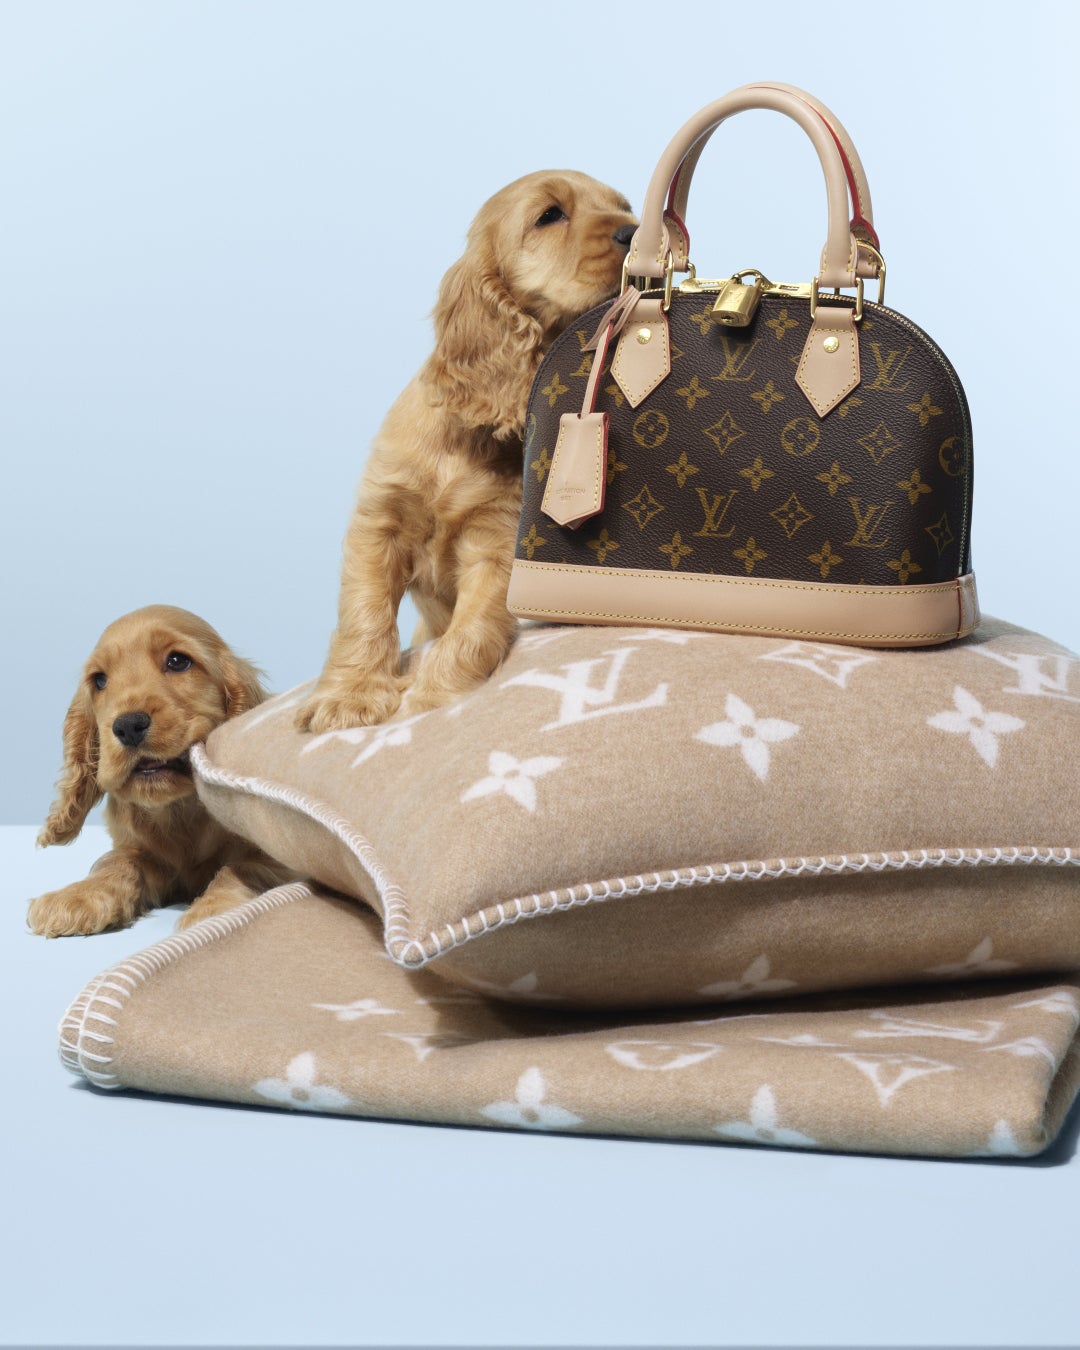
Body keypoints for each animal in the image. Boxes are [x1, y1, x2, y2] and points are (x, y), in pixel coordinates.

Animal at [28, 605, 292, 937]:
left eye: (178, 661)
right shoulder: (138, 850)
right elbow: (115, 860)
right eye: (100, 680)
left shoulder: (280, 862)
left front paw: (214, 910)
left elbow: (243, 867)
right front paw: (79, 895)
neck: (179, 810)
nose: (128, 726)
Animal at [296, 170, 637, 733]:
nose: (637, 231)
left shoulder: (496, 544)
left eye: (626, 207)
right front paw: (349, 697)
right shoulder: (379, 523)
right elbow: (363, 615)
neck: (469, 439)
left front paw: (429, 702)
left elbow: (469, 634)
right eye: (549, 215)